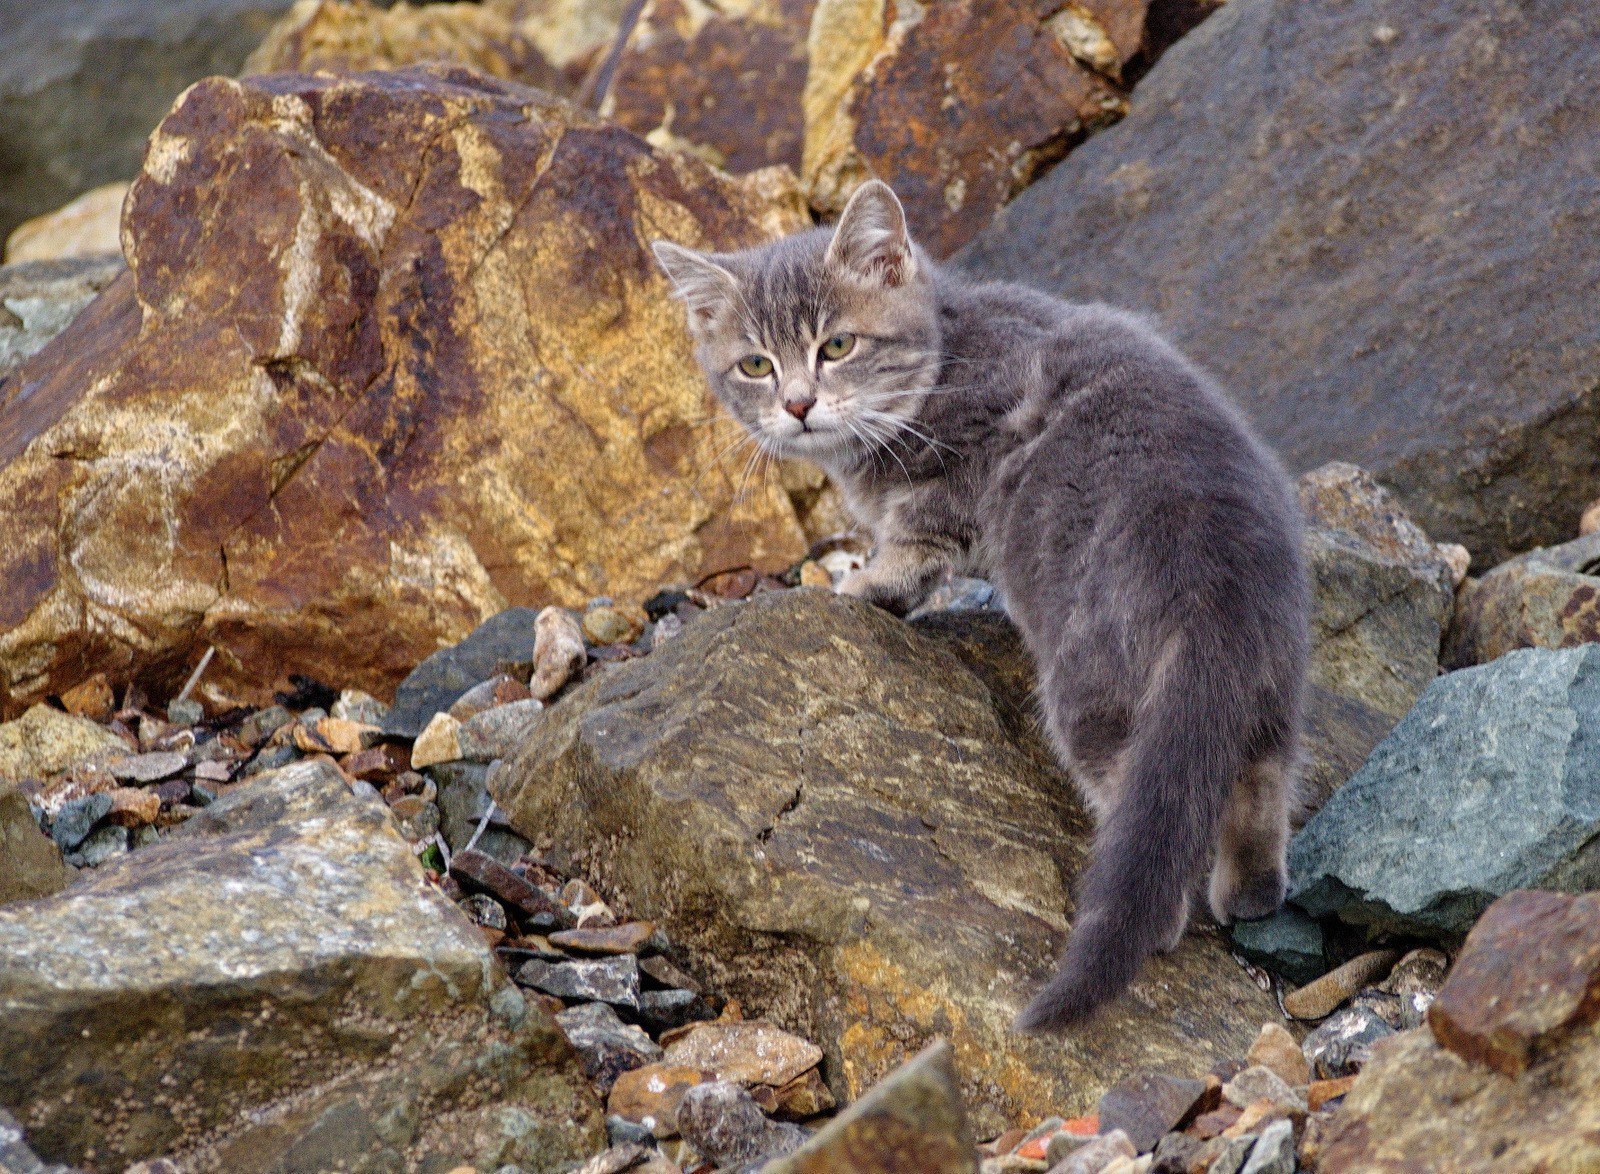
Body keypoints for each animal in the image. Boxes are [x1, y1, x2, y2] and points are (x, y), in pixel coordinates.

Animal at [652, 179, 1312, 1036]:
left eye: (838, 346)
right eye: (755, 366)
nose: (797, 405)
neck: (944, 351)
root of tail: (1215, 571)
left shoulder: (961, 468)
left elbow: (914, 540)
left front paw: (863, 583)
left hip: (1094, 687)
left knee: (1145, 810)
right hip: (1271, 679)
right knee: (1258, 778)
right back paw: (1252, 891)